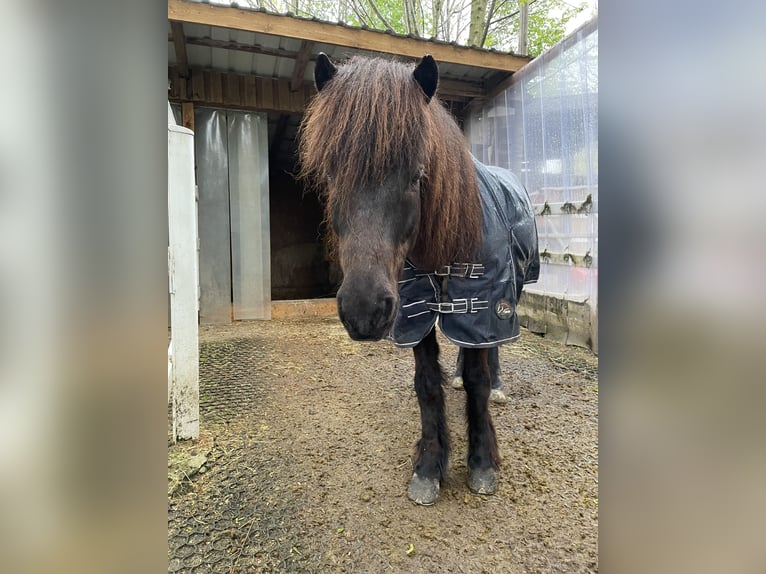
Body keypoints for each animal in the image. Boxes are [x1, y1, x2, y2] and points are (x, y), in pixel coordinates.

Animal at [300, 53, 540, 504]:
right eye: (331, 176)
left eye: (417, 175)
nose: (363, 311)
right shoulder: (414, 309)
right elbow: (427, 383)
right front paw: (429, 466)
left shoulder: (482, 301)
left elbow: (479, 380)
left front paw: (482, 462)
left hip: (505, 297)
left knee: (491, 351)